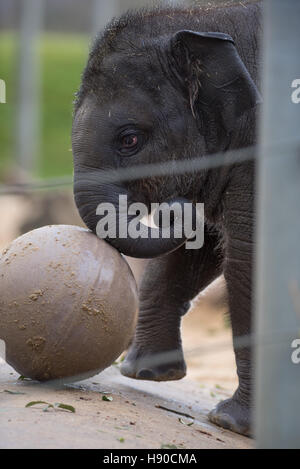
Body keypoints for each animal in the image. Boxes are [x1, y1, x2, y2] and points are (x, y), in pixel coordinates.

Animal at [72, 0, 262, 438]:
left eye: (129, 139)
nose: (175, 207)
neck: (205, 20)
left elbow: (247, 259)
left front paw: (230, 423)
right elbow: (203, 246)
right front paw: (145, 374)